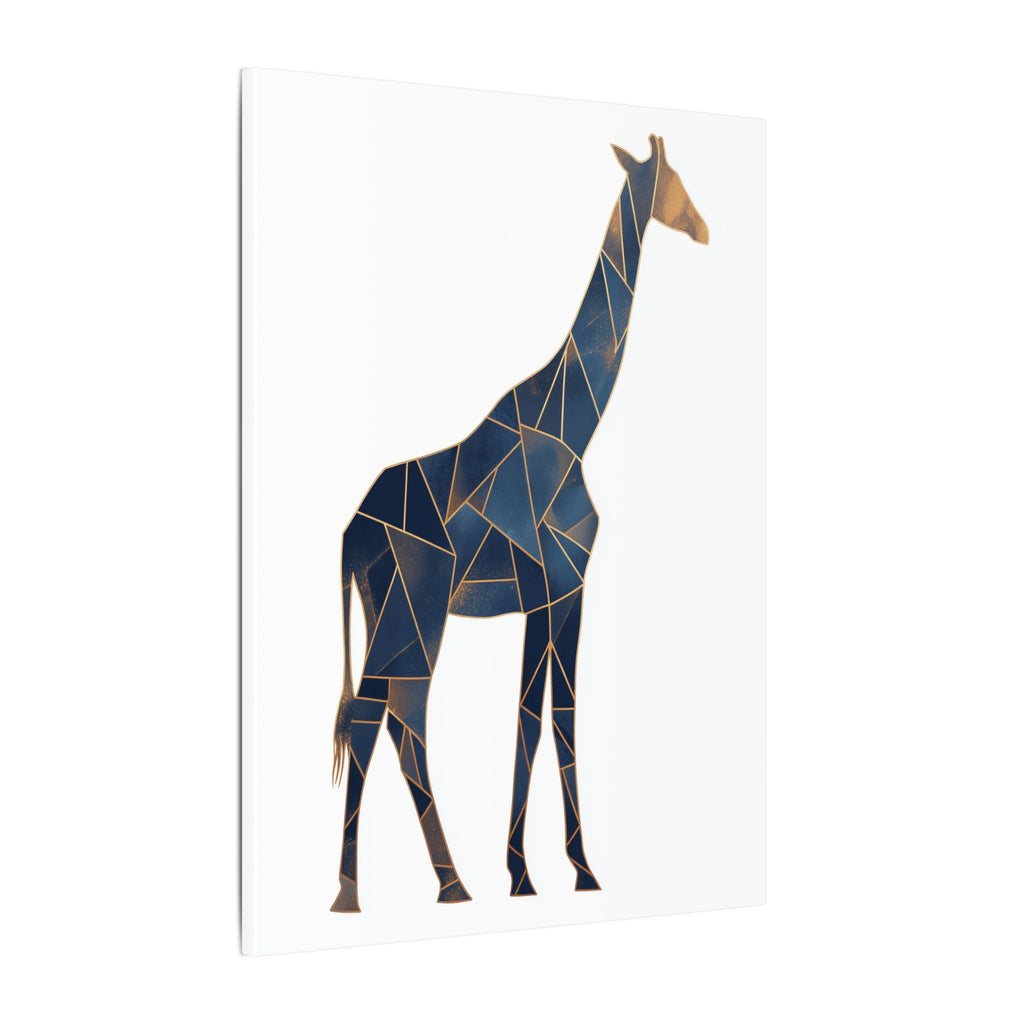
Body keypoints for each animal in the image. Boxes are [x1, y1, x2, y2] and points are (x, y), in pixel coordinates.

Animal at [330, 134, 709, 913]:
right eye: (675, 180)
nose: (705, 227)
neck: (577, 422)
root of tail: (352, 533)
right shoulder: (560, 583)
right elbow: (549, 714)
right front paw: (561, 872)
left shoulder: (554, 592)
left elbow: (541, 715)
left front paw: (544, 872)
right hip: (416, 611)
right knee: (389, 714)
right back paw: (372, 892)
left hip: (388, 610)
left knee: (390, 718)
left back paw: (434, 883)